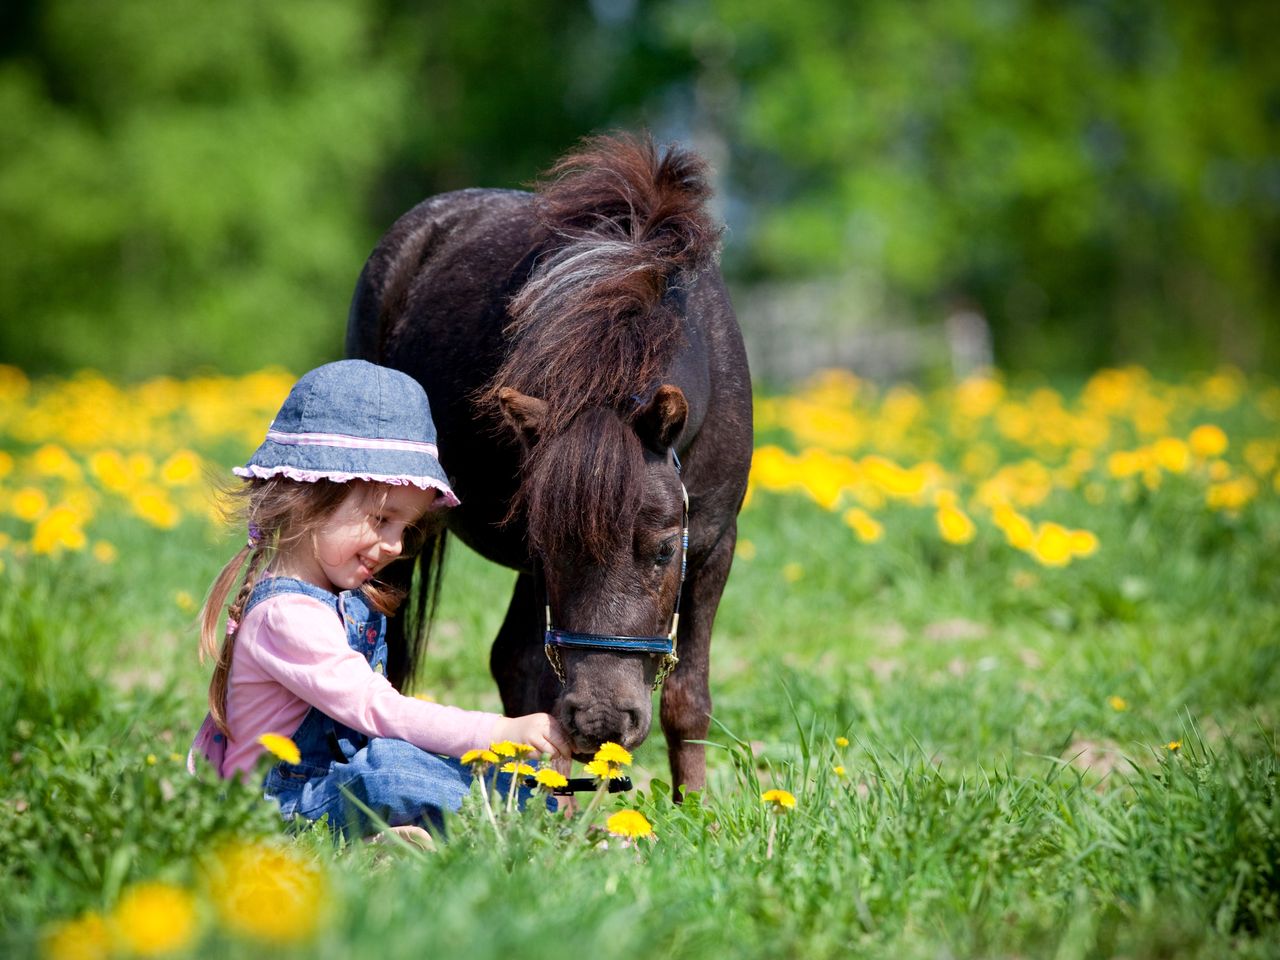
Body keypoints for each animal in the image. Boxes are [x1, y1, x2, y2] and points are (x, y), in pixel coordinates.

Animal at [345, 135, 752, 798]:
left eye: (665, 550)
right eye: (550, 545)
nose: (603, 720)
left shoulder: (715, 543)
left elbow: (688, 698)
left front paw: (695, 811)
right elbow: (540, 683)